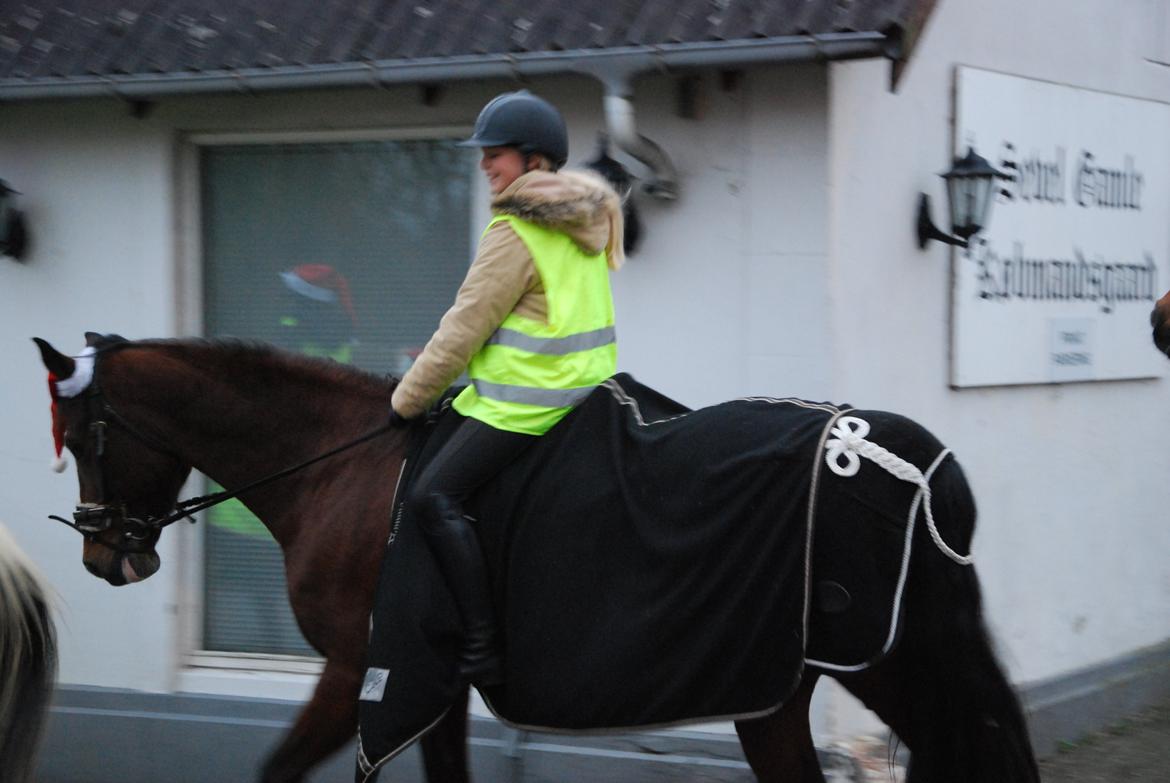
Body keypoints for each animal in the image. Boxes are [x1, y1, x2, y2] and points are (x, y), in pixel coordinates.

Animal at [32, 332, 1038, 777]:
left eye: (83, 437)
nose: (105, 555)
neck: (342, 466)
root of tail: (918, 466)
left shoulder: (361, 668)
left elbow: (276, 772)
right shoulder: (426, 685)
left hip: (845, 677)